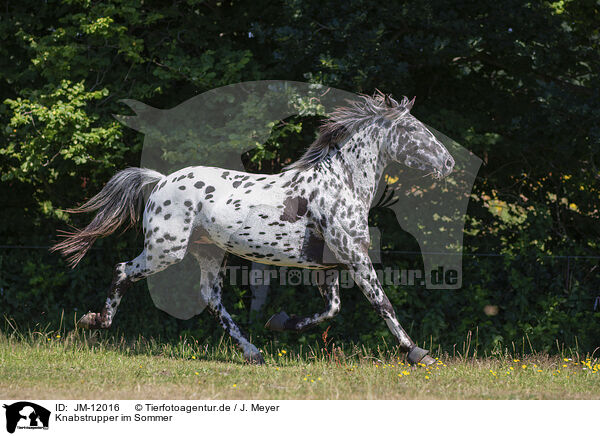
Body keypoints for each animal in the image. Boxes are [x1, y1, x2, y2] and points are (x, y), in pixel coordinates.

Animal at [51, 91, 454, 364]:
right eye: (414, 129)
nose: (449, 162)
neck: (341, 184)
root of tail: (162, 180)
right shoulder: (355, 257)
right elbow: (381, 302)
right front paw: (418, 352)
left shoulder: (329, 266)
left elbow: (331, 310)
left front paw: (279, 322)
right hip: (165, 250)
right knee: (124, 270)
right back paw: (95, 321)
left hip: (208, 252)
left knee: (211, 298)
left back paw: (253, 351)